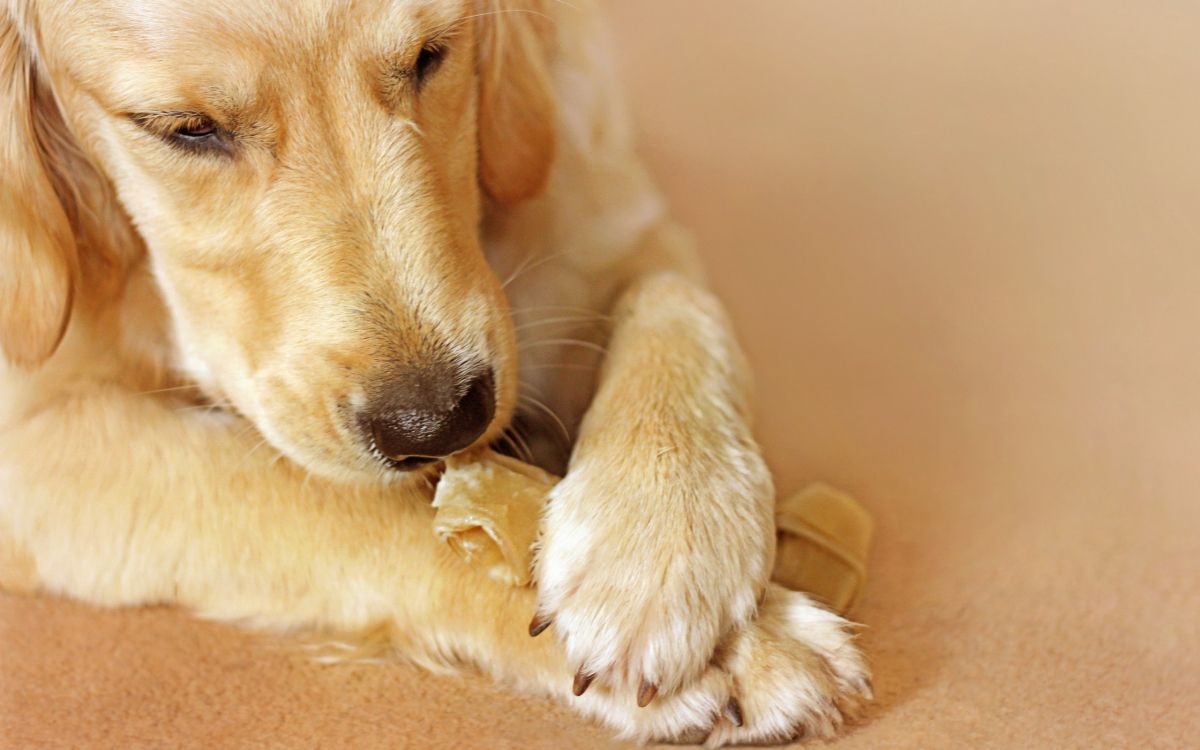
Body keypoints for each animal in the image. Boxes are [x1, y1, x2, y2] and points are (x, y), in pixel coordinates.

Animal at [0, 0, 864, 739]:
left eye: (430, 56)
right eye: (184, 129)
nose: (440, 420)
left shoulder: (598, 201)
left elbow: (675, 296)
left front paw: (660, 536)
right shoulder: (33, 443)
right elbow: (318, 498)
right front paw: (750, 648)